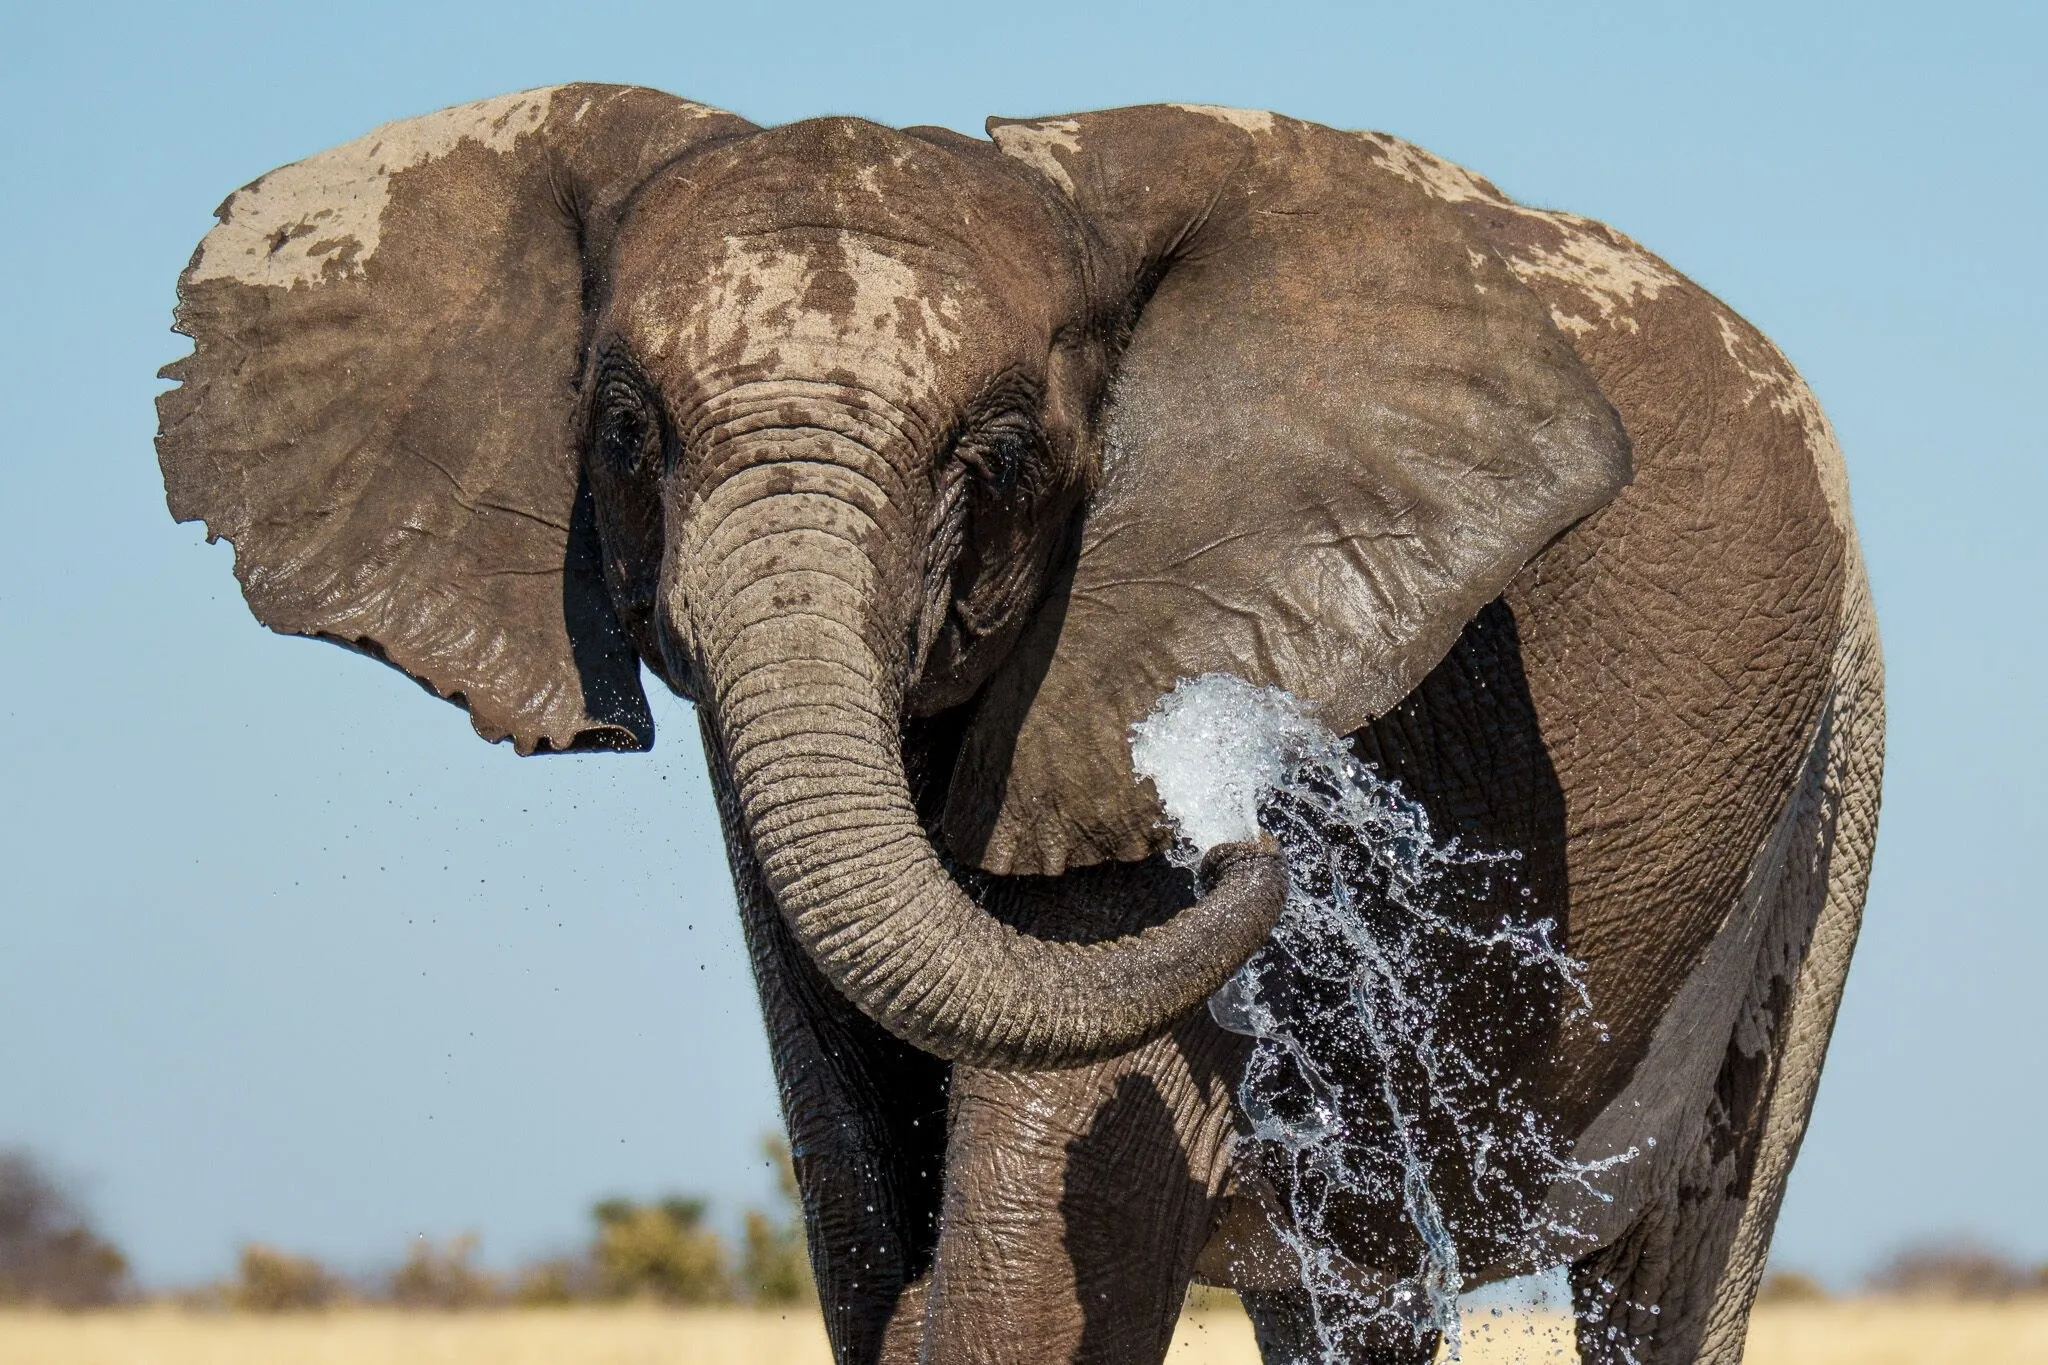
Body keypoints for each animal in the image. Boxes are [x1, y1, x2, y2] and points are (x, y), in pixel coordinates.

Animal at [156, 85, 1883, 1365]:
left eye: (995, 457)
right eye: (628, 433)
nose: (1241, 813)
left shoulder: (1150, 633)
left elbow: (1043, 1234)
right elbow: (864, 1204)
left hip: (1837, 748)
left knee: (1686, 1254)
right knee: (1351, 1289)